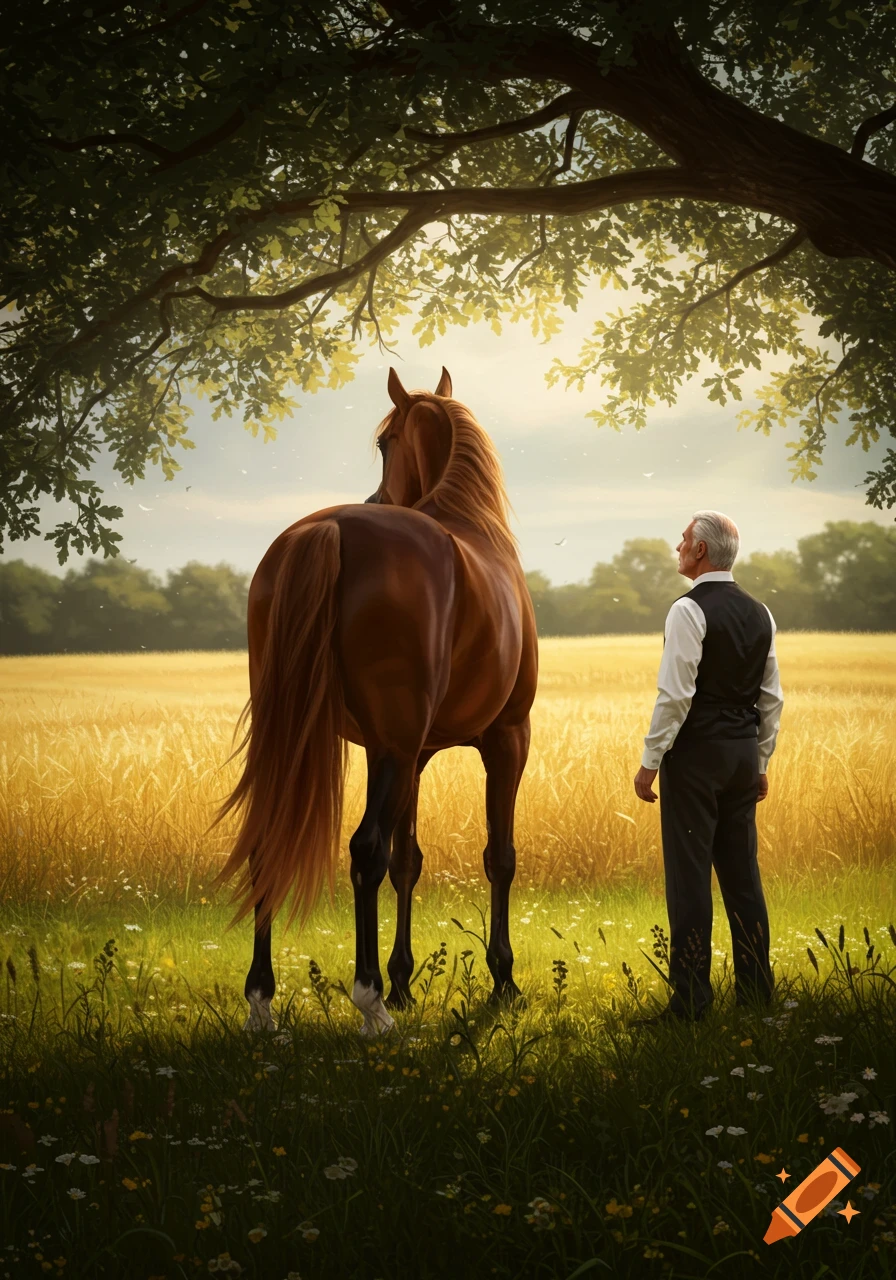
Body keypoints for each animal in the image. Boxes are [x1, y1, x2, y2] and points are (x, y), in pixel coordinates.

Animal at [208, 366, 538, 1036]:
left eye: (385, 444)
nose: (377, 500)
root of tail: (328, 530)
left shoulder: (410, 752)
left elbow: (408, 859)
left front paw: (407, 981)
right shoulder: (505, 738)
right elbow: (498, 856)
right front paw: (503, 982)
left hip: (322, 741)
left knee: (270, 842)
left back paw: (262, 1001)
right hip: (403, 745)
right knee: (364, 850)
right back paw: (370, 1003)